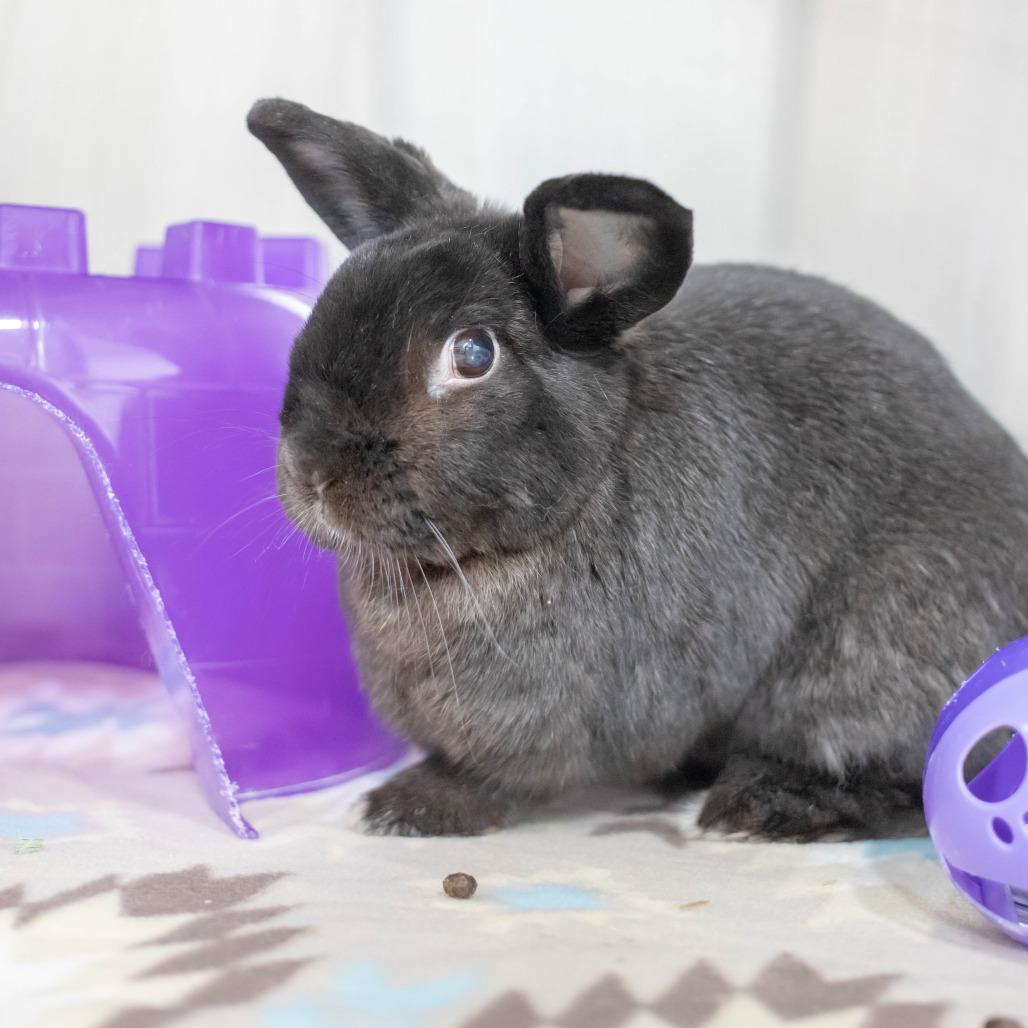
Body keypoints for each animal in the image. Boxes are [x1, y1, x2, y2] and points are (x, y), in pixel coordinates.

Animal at [247, 97, 1028, 840]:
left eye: (472, 355)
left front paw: (409, 805)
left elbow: (496, 778)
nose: (314, 476)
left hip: (868, 657)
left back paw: (760, 807)